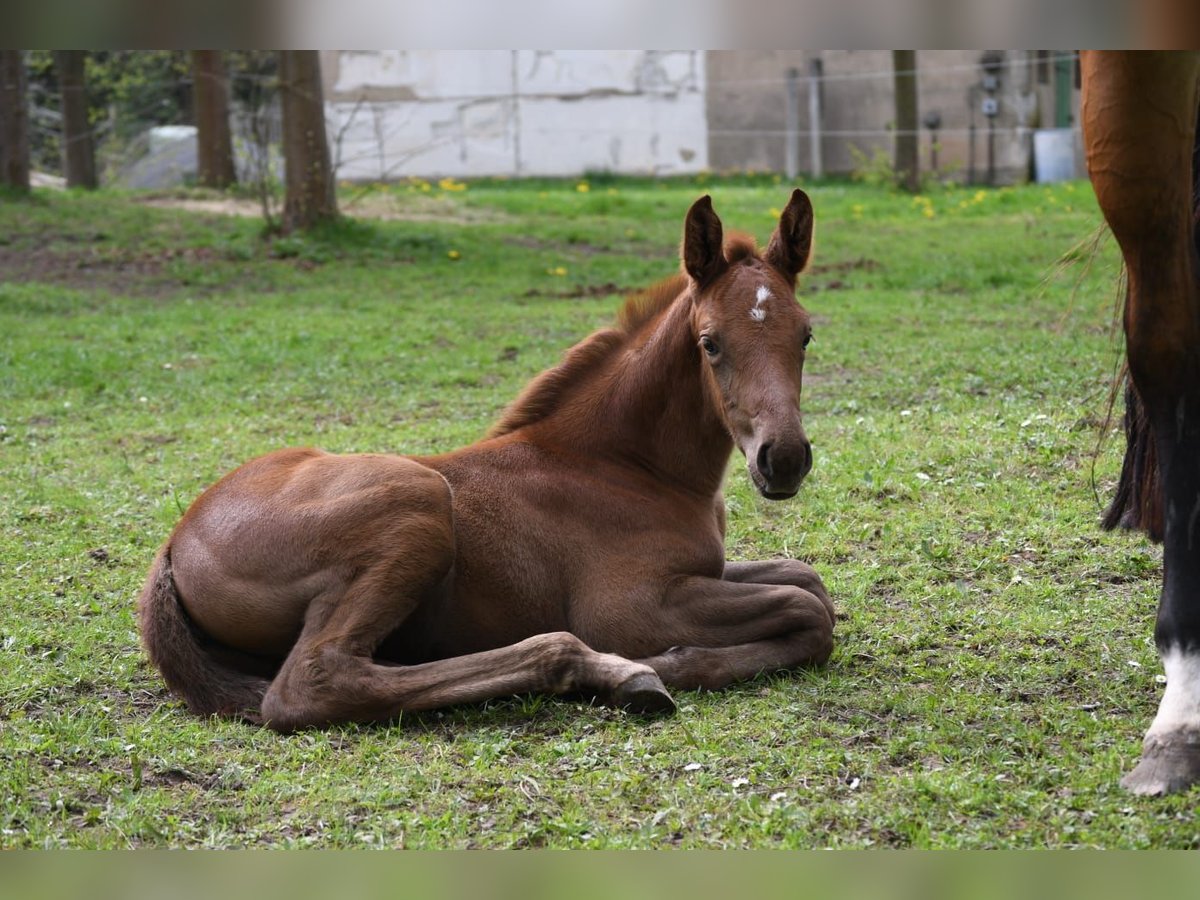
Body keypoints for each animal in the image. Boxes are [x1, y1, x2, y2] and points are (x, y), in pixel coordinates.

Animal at [138, 190, 835, 734]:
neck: (627, 466)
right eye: (710, 342)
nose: (784, 458)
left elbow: (807, 580)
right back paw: (613, 673)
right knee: (312, 682)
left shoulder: (710, 569)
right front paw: (670, 661)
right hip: (415, 501)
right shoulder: (632, 605)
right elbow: (811, 613)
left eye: (805, 334)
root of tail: (174, 544)